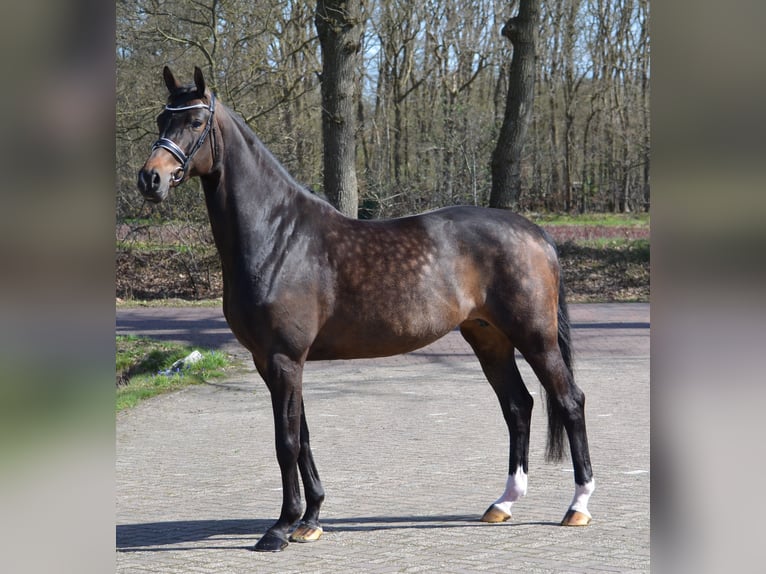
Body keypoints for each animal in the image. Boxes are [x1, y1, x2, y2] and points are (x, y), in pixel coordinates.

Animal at [137, 66, 594, 552]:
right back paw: (503, 503)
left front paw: (281, 527)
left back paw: (577, 506)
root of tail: (536, 233)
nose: (150, 179)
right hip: (489, 338)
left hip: (535, 337)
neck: (279, 236)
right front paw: (310, 520)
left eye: (194, 122)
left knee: (569, 402)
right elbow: (303, 436)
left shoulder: (283, 358)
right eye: (161, 119)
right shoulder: (273, 362)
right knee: (518, 406)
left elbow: (286, 441)